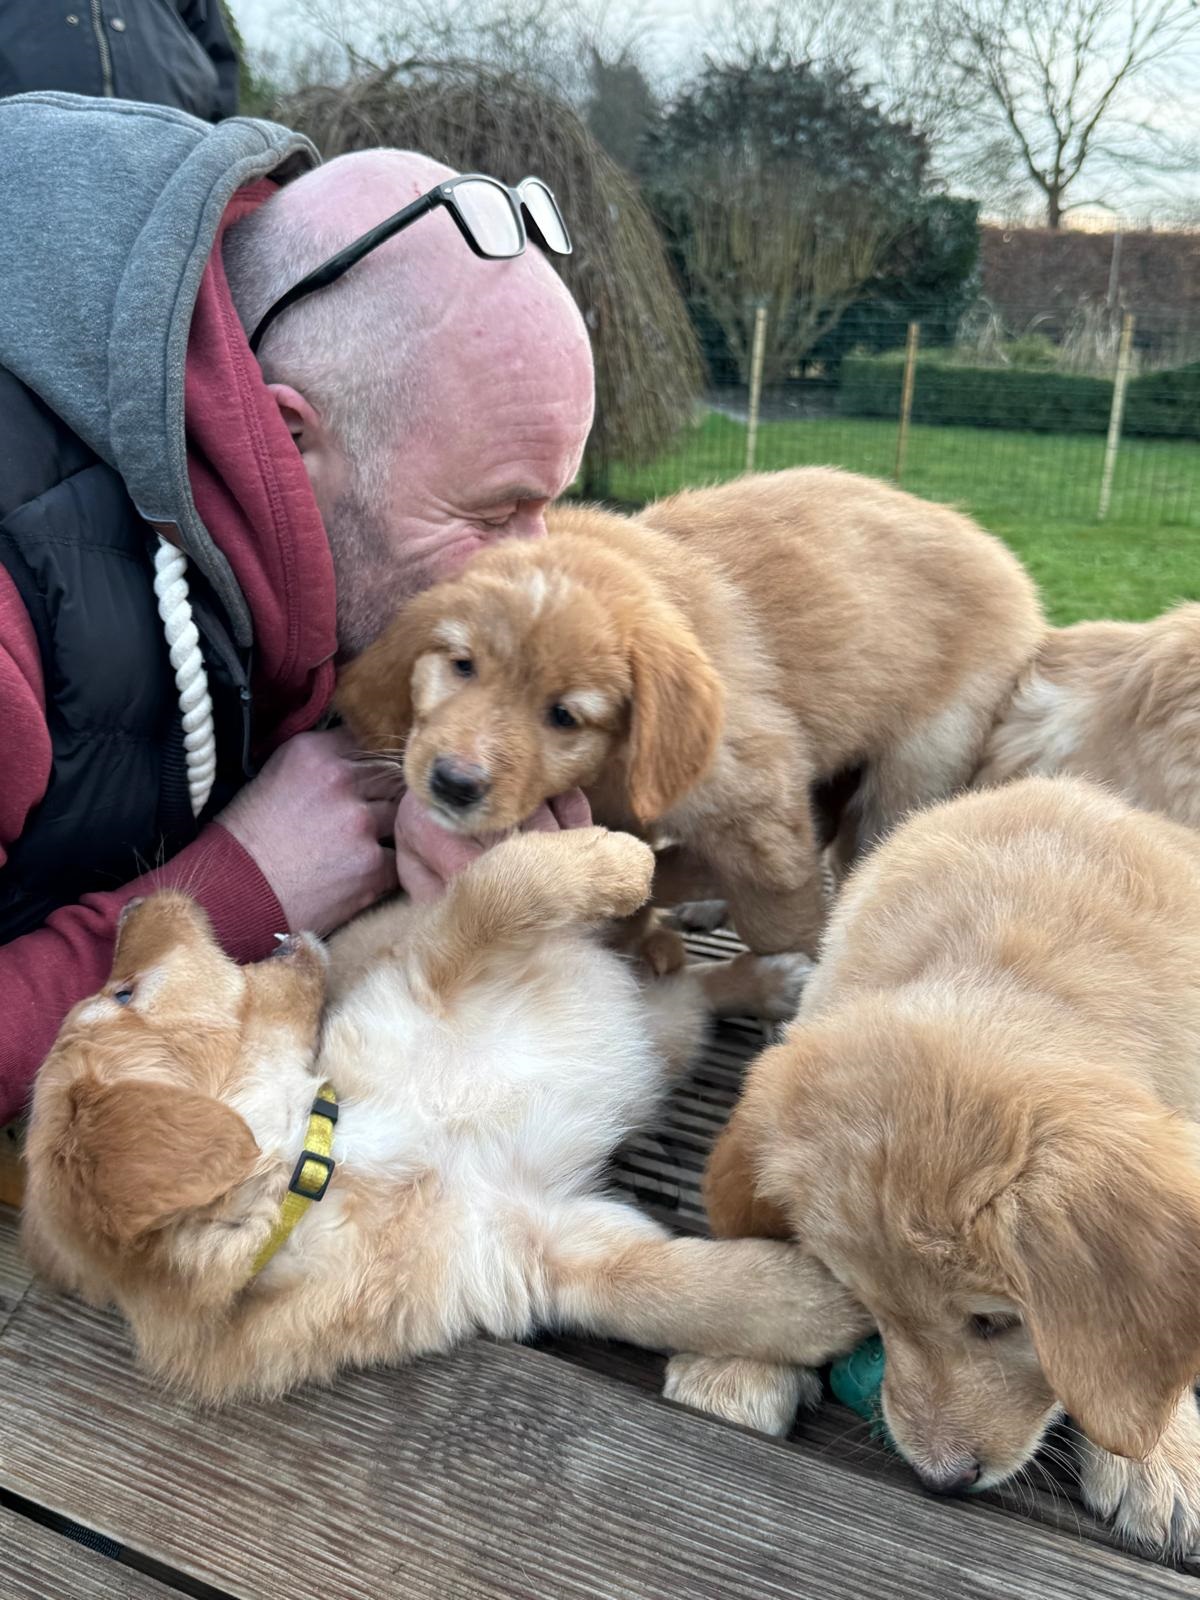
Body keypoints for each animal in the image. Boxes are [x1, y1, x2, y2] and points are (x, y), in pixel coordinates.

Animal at [22, 828, 865, 1405]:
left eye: (122, 992)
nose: (132, 899)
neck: (333, 1158)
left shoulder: (432, 968)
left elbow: (503, 883)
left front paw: (616, 859)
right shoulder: (536, 1247)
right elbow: (672, 1292)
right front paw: (822, 1305)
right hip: (665, 1034)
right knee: (684, 998)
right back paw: (769, 979)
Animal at [336, 468, 1044, 957]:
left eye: (564, 716)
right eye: (462, 666)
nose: (453, 784)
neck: (613, 767)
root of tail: (1001, 556)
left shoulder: (759, 800)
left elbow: (776, 916)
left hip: (918, 767)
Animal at [667, 777, 1200, 1556]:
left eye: (997, 1323)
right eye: (863, 1303)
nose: (942, 1479)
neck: (1008, 967)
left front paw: (1161, 1453)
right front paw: (739, 1357)